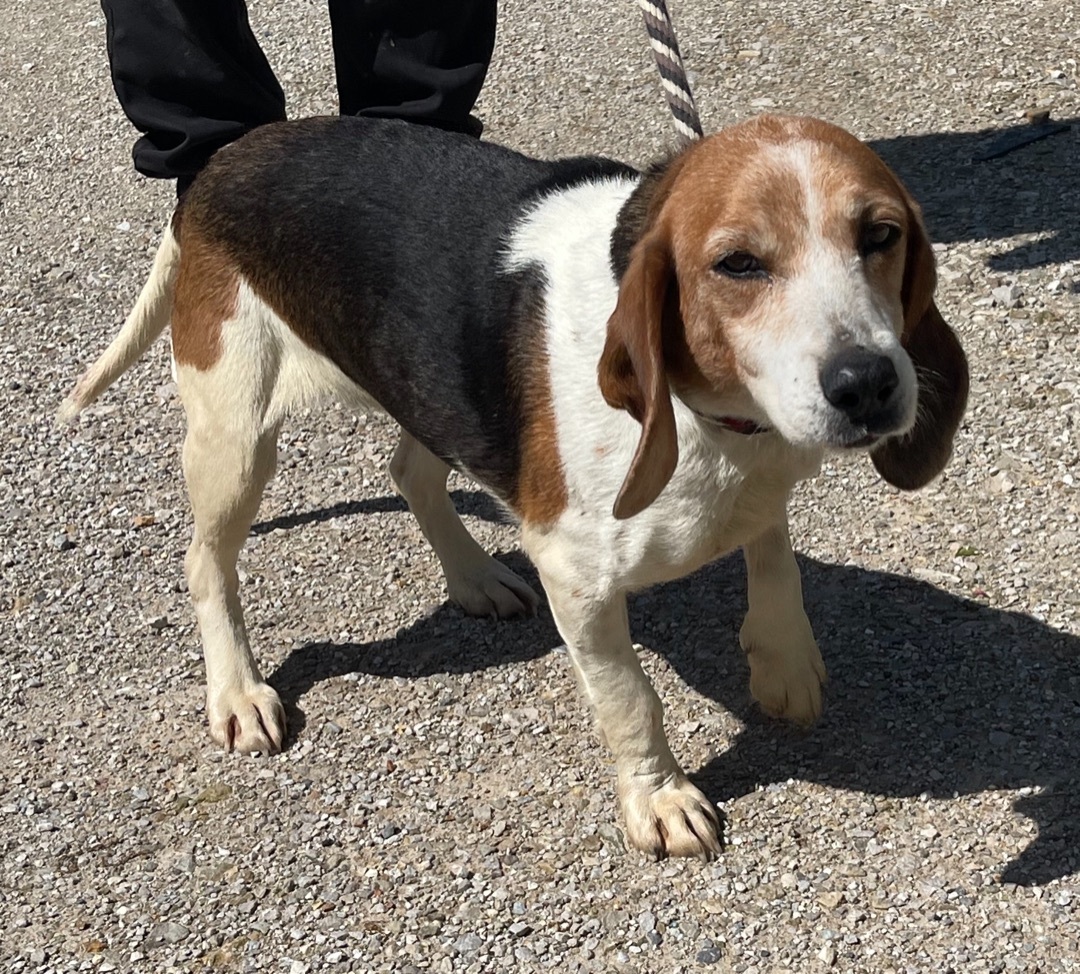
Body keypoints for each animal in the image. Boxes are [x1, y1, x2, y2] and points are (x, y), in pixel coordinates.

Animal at [61, 116, 972, 863]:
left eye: (880, 235)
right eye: (738, 264)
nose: (867, 383)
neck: (708, 414)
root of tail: (228, 156)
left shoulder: (762, 479)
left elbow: (773, 555)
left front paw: (784, 659)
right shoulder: (578, 578)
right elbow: (630, 699)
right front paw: (660, 798)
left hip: (423, 396)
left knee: (410, 473)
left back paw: (473, 577)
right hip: (235, 436)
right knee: (205, 562)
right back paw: (239, 690)